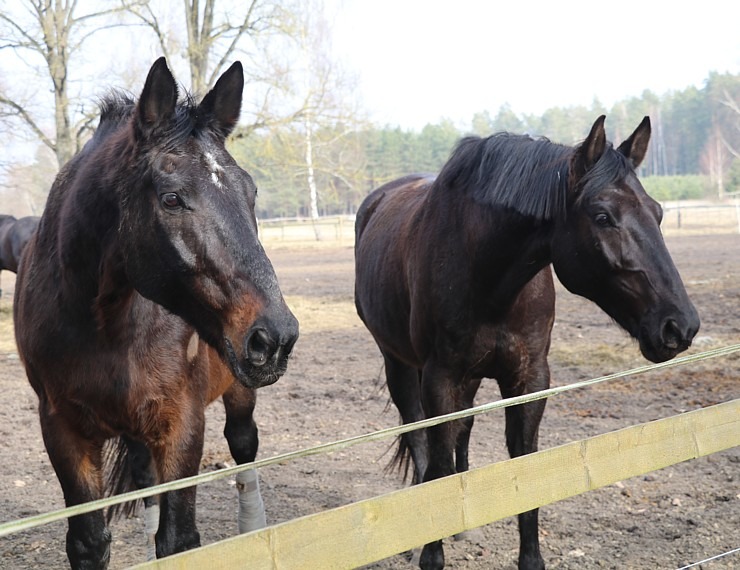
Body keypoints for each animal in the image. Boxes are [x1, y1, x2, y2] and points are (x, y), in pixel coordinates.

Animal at [13, 58, 298, 568]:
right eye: (171, 198)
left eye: (251, 192)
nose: (275, 337)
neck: (104, 324)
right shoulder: (62, 430)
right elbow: (89, 541)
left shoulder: (182, 424)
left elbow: (179, 538)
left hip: (239, 391)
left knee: (244, 445)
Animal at [352, 115, 700, 568]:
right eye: (603, 216)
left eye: (657, 212)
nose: (680, 326)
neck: (486, 275)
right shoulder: (440, 379)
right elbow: (438, 461)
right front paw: (432, 551)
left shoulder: (529, 378)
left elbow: (525, 468)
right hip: (398, 363)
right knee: (418, 433)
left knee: (463, 429)